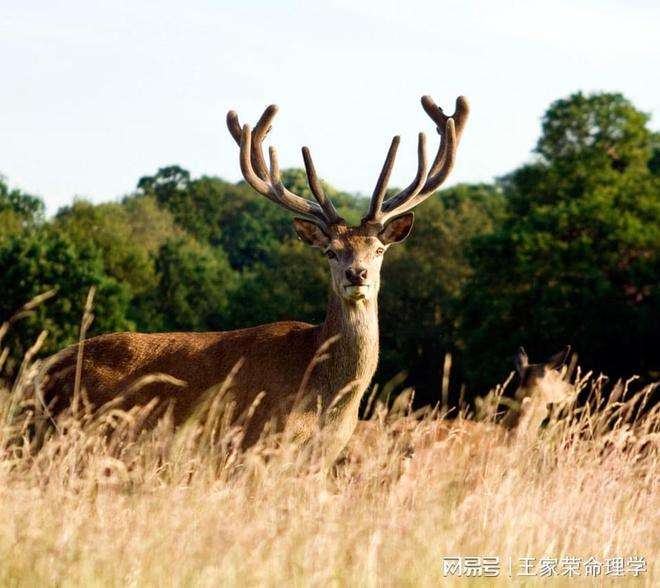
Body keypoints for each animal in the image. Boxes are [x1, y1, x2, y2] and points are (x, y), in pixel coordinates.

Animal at [34, 95, 470, 464]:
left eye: (379, 250)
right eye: (330, 251)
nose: (356, 273)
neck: (323, 399)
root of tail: (45, 370)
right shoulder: (252, 442)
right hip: (73, 435)